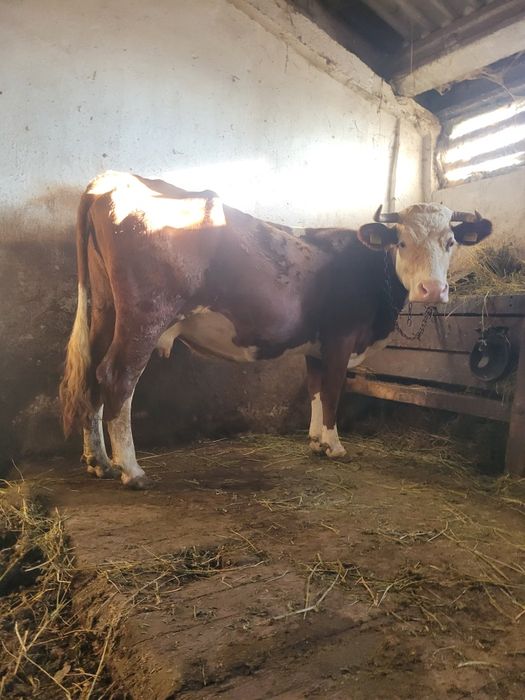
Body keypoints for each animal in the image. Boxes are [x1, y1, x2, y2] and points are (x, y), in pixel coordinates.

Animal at [60, 171, 492, 488]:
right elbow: (333, 391)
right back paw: (131, 470)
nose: (432, 289)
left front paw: (316, 441)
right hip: (145, 317)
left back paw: (98, 462)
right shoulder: (340, 338)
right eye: (401, 242)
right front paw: (334, 445)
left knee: (92, 376)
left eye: (450, 242)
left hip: (104, 310)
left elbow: (316, 390)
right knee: (118, 377)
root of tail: (111, 180)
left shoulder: (316, 346)